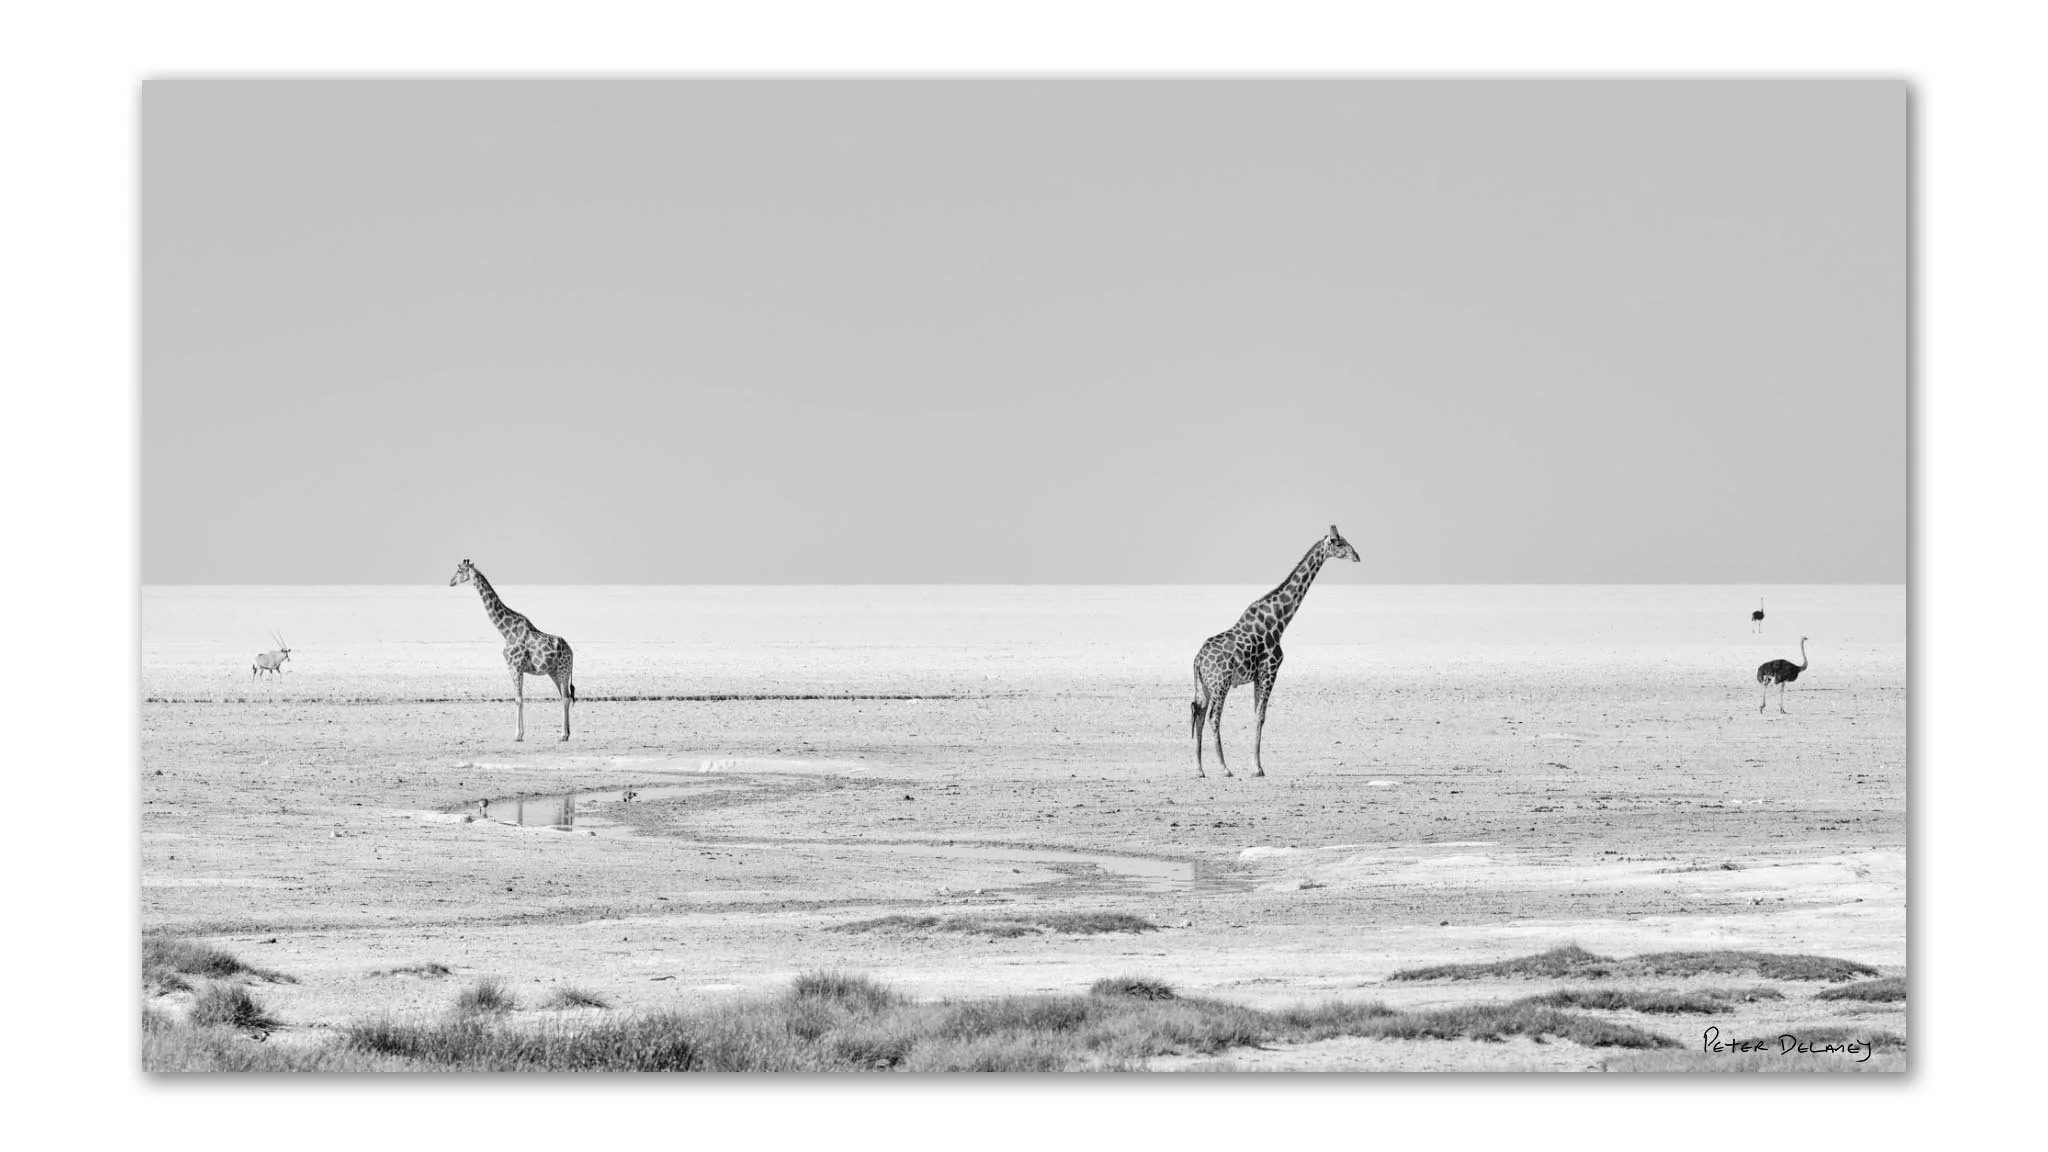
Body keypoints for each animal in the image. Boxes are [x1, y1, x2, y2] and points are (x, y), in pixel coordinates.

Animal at [448, 559, 576, 741]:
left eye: (459, 570)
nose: (451, 582)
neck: (506, 631)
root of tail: (571, 652)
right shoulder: (515, 668)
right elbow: (519, 698)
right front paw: (521, 733)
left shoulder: (515, 667)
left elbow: (518, 699)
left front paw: (518, 735)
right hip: (554, 672)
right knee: (565, 697)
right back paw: (567, 733)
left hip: (563, 671)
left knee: (565, 698)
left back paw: (563, 735)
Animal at [1190, 526, 1360, 778]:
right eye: (1339, 543)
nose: (1357, 556)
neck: (1279, 621)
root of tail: (1197, 661)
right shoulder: (1270, 671)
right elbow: (1261, 717)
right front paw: (1257, 768)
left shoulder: (1258, 676)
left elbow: (1256, 715)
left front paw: (1256, 766)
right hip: (1220, 683)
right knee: (1213, 717)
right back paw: (1224, 768)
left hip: (1204, 686)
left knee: (1199, 715)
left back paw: (1199, 769)